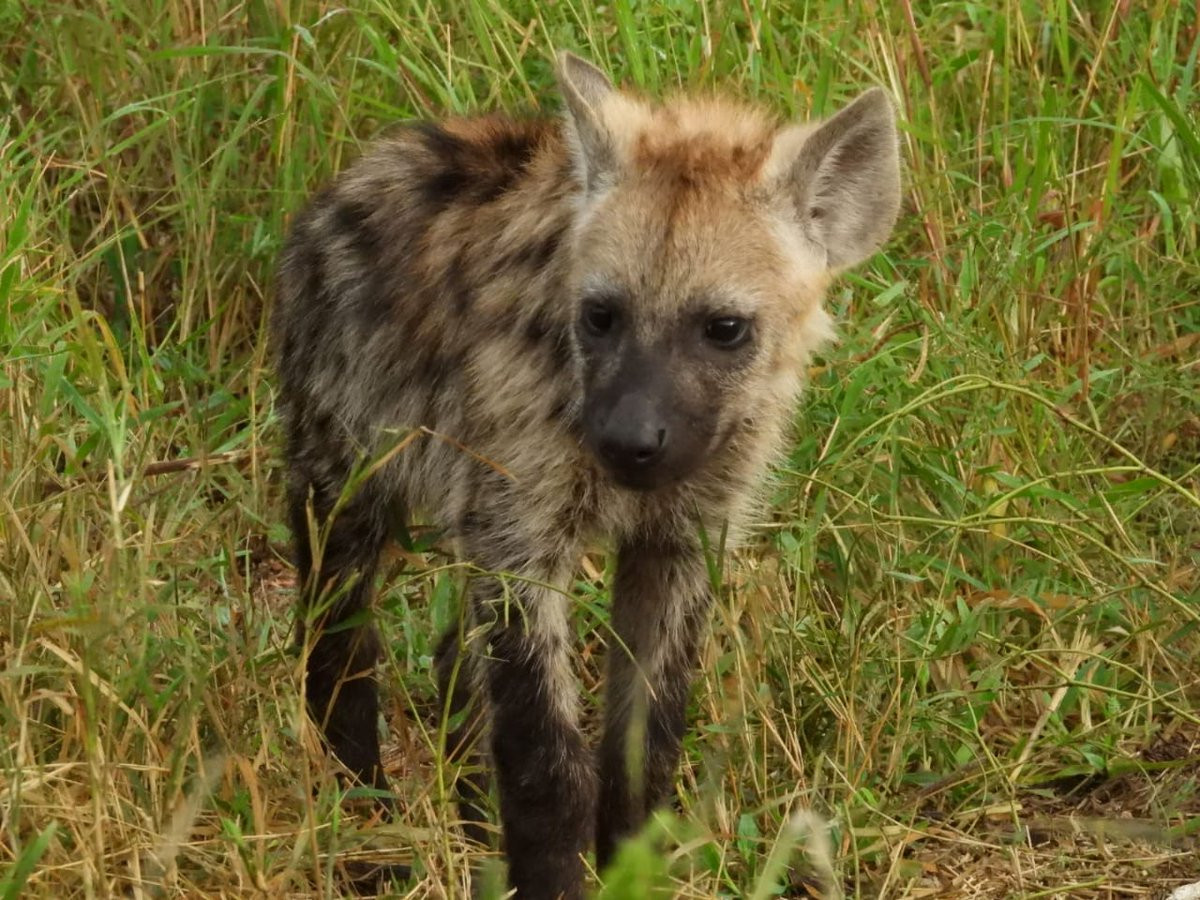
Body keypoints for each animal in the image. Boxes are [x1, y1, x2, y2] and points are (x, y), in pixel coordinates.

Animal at [272, 51, 901, 898]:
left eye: (725, 328)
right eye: (601, 314)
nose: (629, 439)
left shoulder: (684, 537)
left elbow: (645, 734)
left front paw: (632, 862)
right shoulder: (520, 523)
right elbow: (546, 752)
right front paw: (554, 875)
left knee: (452, 654)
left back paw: (475, 832)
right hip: (345, 443)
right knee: (338, 626)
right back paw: (368, 823)